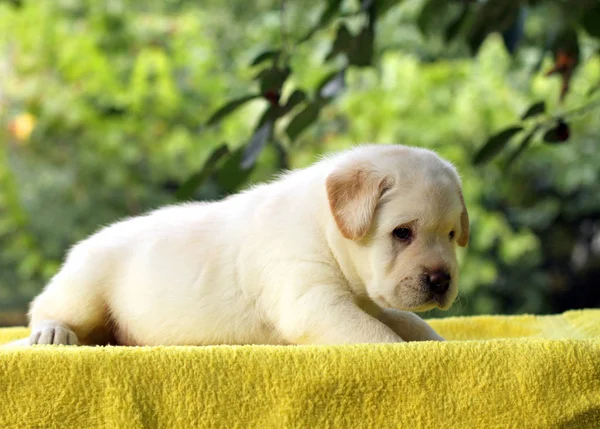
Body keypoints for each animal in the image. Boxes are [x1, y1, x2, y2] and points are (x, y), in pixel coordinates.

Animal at [8, 143, 468, 344]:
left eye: (451, 235)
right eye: (402, 233)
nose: (441, 280)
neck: (325, 228)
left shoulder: (370, 302)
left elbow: (411, 322)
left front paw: (436, 343)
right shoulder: (316, 302)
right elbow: (379, 338)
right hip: (83, 290)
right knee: (43, 310)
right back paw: (52, 333)